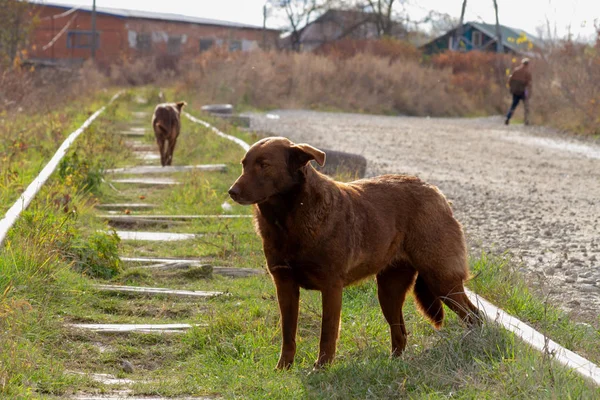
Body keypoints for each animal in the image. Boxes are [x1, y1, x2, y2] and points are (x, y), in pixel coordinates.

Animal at [227, 137, 480, 368]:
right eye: (244, 165)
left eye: (264, 165)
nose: (231, 191)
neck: (289, 219)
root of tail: (435, 192)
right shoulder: (285, 286)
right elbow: (288, 334)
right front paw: (283, 369)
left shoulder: (331, 287)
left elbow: (327, 334)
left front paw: (321, 368)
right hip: (389, 291)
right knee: (400, 333)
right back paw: (392, 365)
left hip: (441, 279)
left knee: (474, 316)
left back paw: (474, 346)